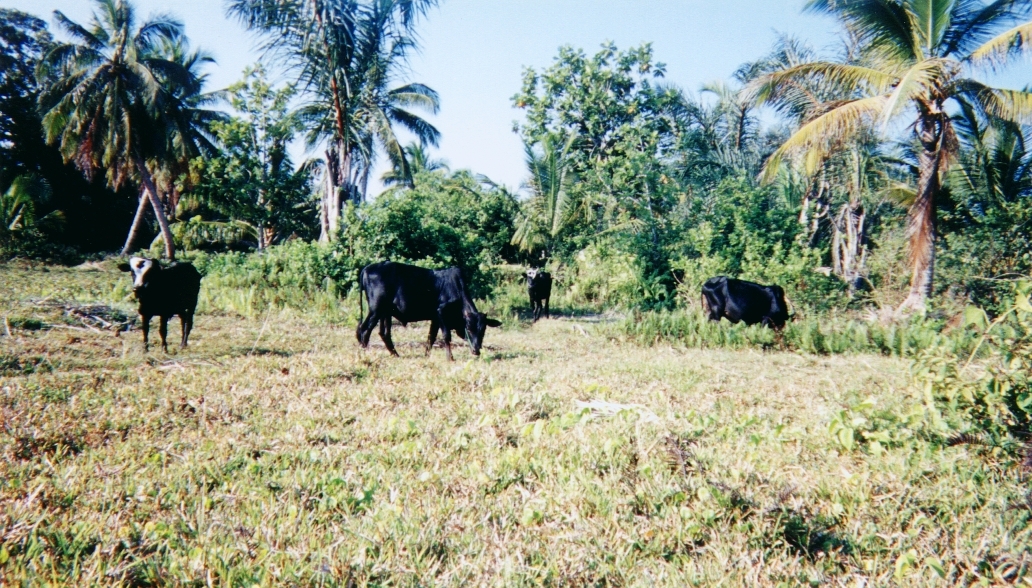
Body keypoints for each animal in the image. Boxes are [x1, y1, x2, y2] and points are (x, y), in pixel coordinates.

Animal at [357, 259, 501, 356]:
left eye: (483, 330)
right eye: (469, 329)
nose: (476, 350)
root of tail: (367, 268)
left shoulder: (435, 318)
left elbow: (431, 337)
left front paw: (426, 355)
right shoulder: (441, 312)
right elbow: (446, 336)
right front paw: (450, 358)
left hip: (385, 313)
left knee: (384, 333)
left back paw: (395, 355)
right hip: (375, 310)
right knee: (364, 330)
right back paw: (365, 353)